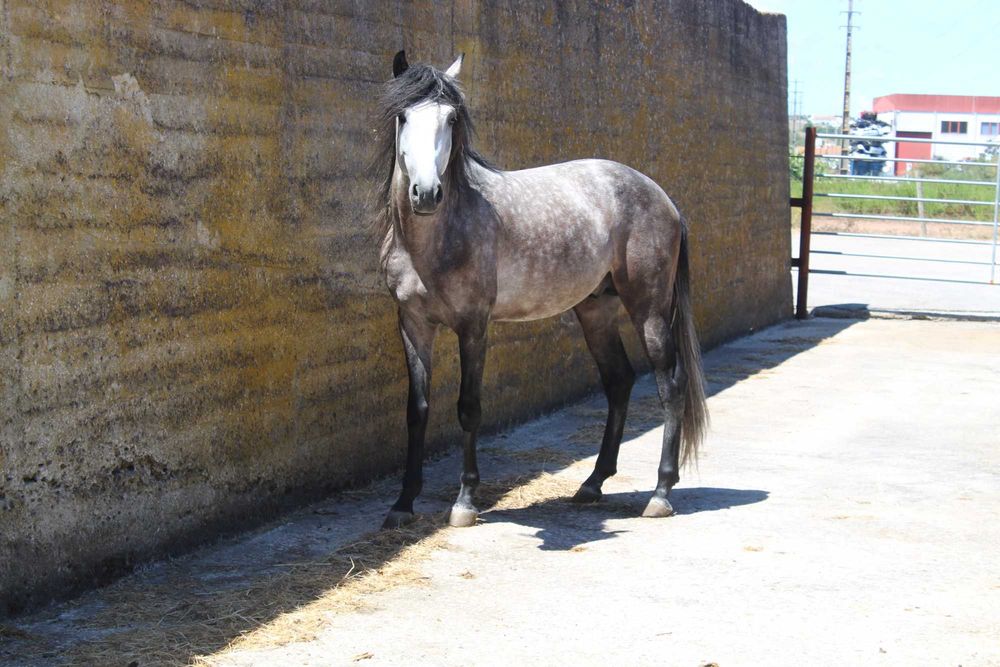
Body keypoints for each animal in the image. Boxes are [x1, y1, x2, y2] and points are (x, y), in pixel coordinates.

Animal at [371, 51, 708, 529]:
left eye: (451, 118)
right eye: (403, 116)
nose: (426, 193)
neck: (435, 240)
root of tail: (662, 196)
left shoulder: (473, 326)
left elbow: (468, 407)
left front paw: (465, 502)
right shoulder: (412, 324)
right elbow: (416, 411)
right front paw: (402, 504)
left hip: (650, 309)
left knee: (671, 385)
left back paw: (660, 493)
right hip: (595, 310)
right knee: (619, 380)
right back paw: (592, 484)